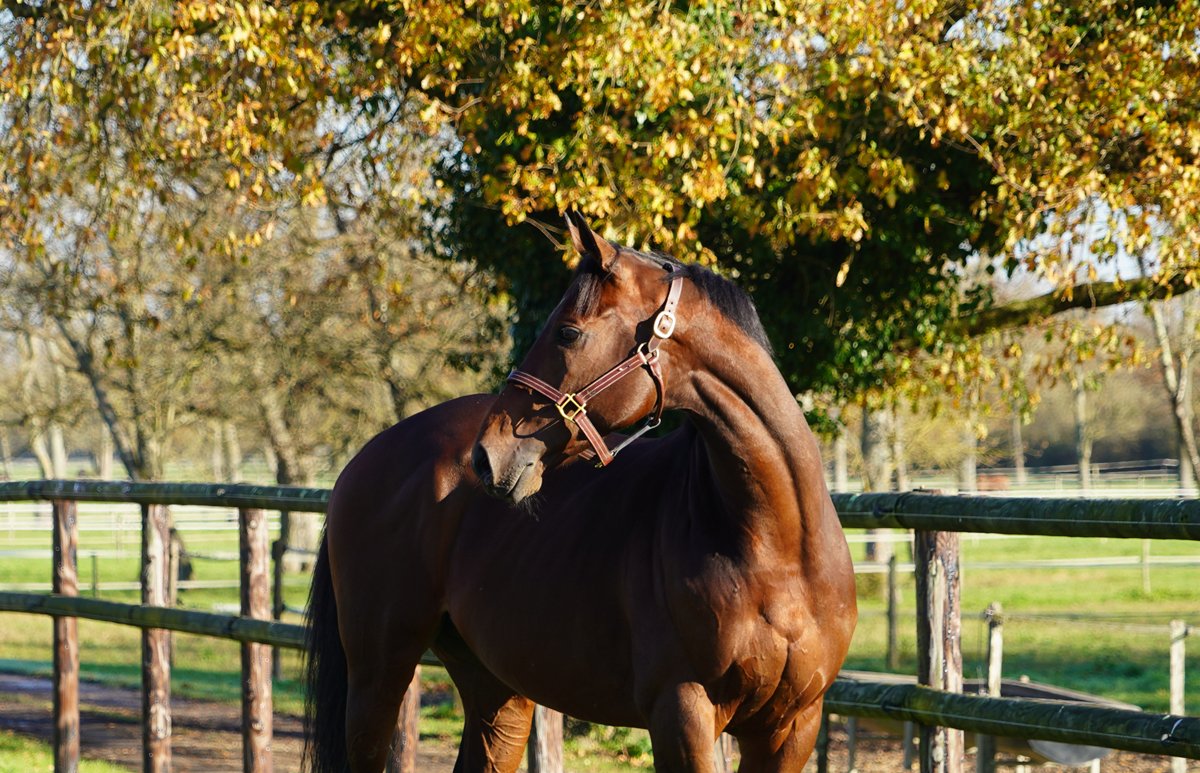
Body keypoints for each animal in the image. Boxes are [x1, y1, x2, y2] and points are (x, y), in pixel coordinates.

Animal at [304, 212, 857, 772]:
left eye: (568, 331)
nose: (487, 456)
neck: (774, 548)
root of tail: (362, 460)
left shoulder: (792, 726)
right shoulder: (682, 715)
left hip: (496, 689)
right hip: (378, 673)